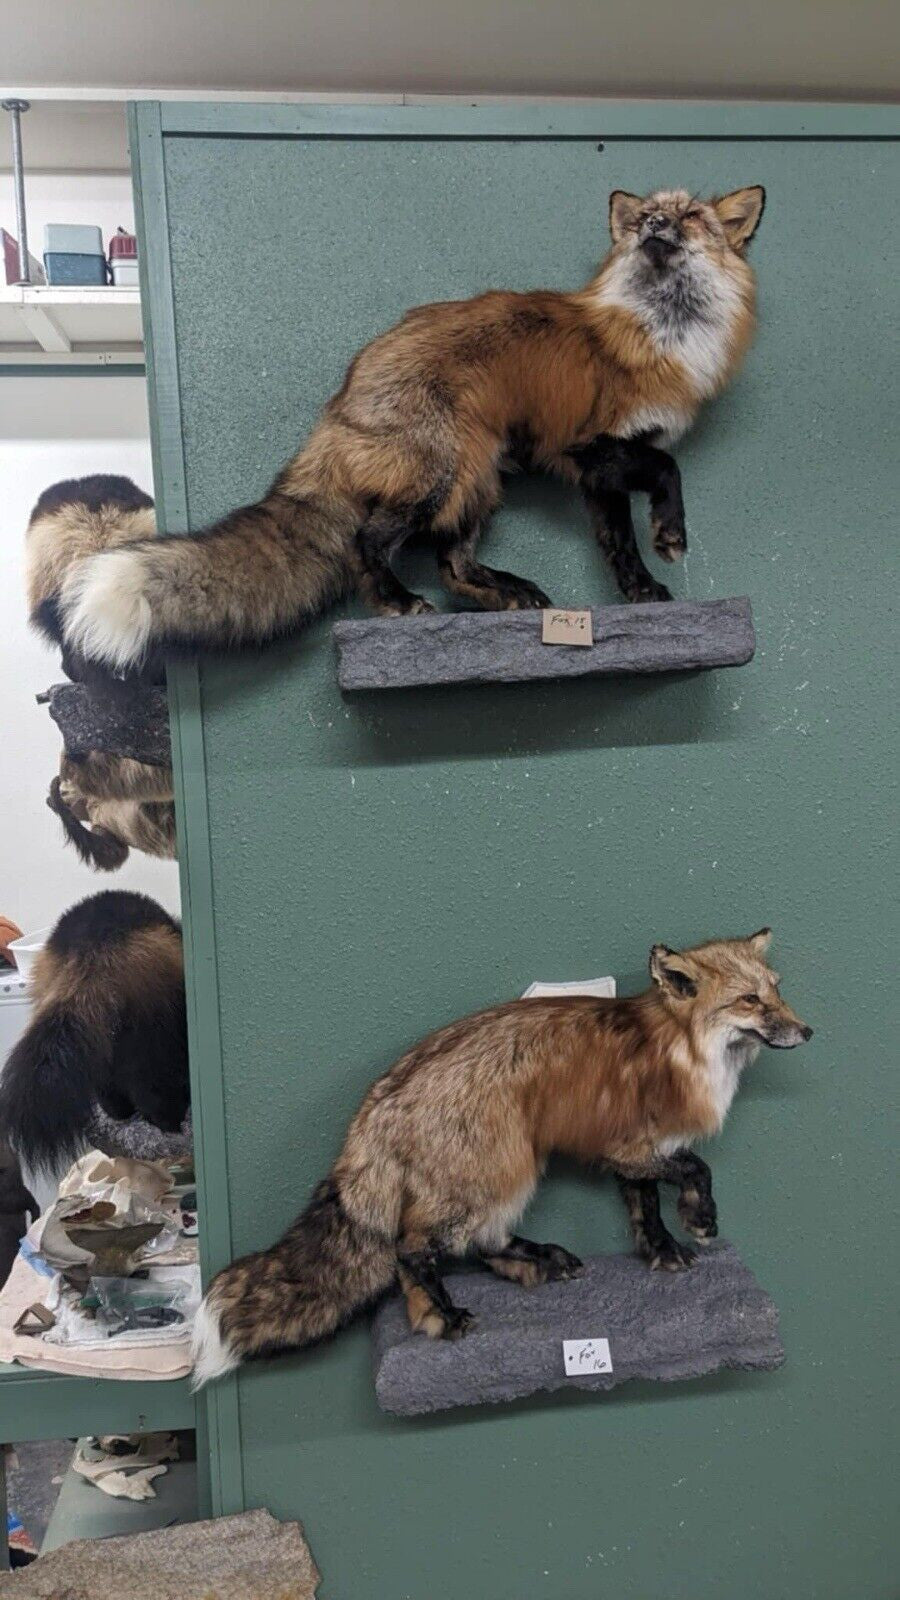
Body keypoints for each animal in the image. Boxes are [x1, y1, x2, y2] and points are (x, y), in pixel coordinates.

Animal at [0, 891, 189, 1175]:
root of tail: (91, 949)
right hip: (151, 1024)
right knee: (152, 1081)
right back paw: (168, 1119)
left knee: (108, 1081)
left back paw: (119, 1110)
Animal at [60, 185, 766, 677]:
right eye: (649, 215)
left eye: (690, 217)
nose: (651, 225)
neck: (664, 332)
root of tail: (344, 392)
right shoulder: (590, 446)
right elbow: (668, 474)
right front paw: (671, 534)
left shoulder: (600, 470)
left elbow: (619, 545)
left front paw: (643, 593)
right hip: (440, 474)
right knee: (369, 542)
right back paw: (398, 603)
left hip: (478, 480)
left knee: (453, 564)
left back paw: (505, 594)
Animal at [190, 928, 810, 1388]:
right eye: (750, 1000)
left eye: (778, 990)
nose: (807, 1030)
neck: (680, 1051)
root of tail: (378, 1099)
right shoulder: (630, 1148)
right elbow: (697, 1170)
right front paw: (701, 1219)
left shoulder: (635, 1153)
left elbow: (646, 1210)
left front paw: (663, 1252)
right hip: (501, 1171)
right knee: (412, 1248)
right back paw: (441, 1316)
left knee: (481, 1243)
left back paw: (536, 1261)